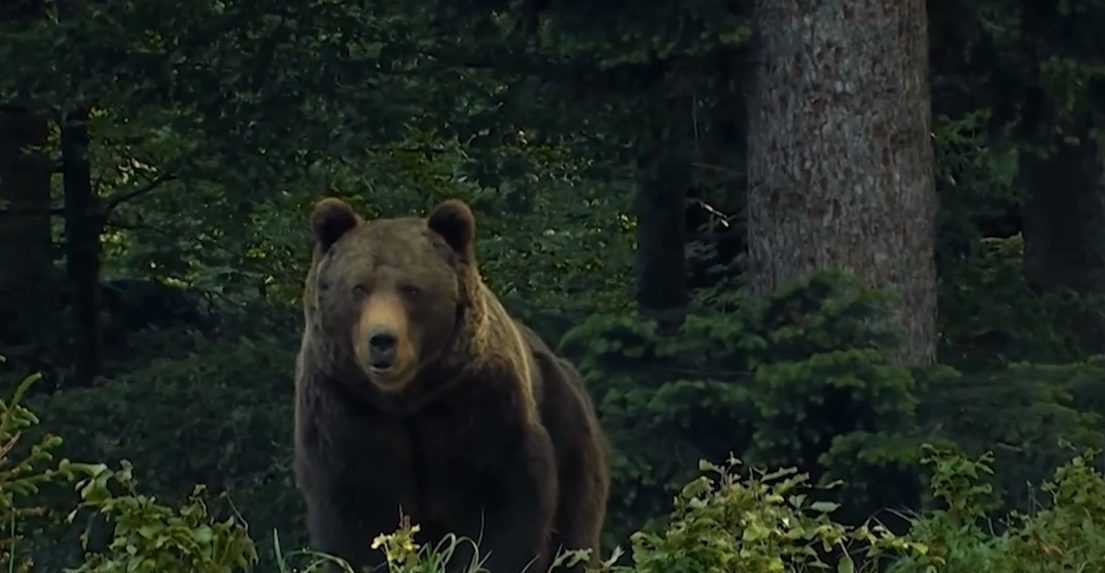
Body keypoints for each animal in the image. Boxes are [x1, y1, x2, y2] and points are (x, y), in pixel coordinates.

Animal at [293, 198, 609, 573]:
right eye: (358, 288)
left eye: (411, 289)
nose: (382, 340)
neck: (407, 398)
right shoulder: (346, 404)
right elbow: (358, 508)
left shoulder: (476, 400)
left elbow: (499, 504)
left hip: (569, 430)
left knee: (576, 531)